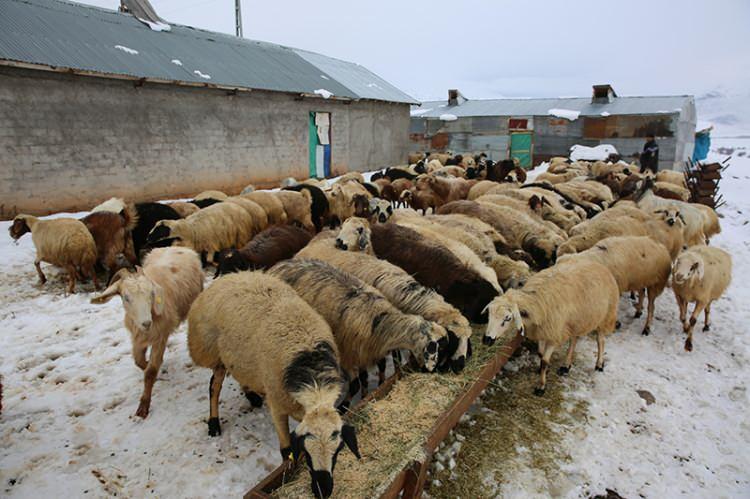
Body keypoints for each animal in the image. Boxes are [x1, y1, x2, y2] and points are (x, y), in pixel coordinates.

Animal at [91, 247, 203, 418]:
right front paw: (154, 368)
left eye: (151, 294)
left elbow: (150, 372)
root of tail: (177, 247)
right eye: (126, 297)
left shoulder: (160, 336)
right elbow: (139, 361)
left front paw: (144, 405)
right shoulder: (138, 337)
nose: (146, 323)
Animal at [189, 274, 362, 499]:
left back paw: (251, 396)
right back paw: (214, 424)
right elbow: (285, 450)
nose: (322, 491)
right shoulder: (278, 404)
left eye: (338, 450)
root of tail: (228, 277)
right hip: (214, 352)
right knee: (214, 386)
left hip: (239, 357)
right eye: (307, 453)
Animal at [484, 258, 620, 394]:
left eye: (507, 318)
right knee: (573, 340)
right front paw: (543, 370)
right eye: (489, 314)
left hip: (605, 316)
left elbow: (545, 360)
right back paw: (566, 366)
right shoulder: (542, 331)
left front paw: (541, 386)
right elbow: (540, 353)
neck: (537, 302)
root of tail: (600, 266)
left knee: (600, 341)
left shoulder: (554, 334)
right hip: (575, 321)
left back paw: (599, 364)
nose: (486, 340)